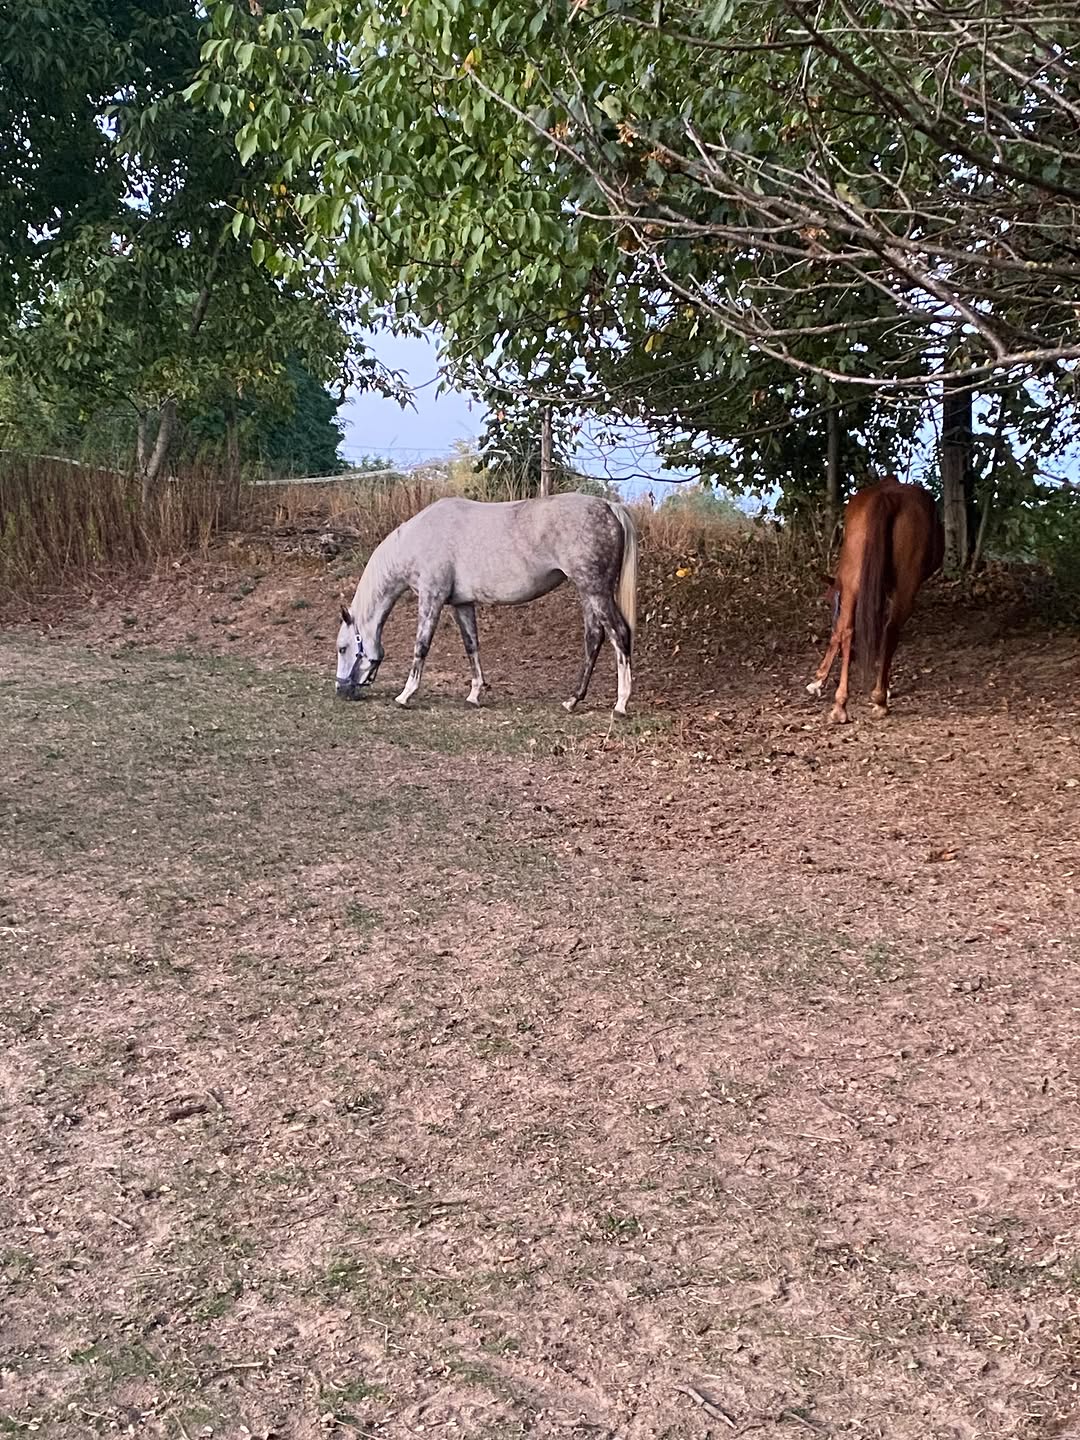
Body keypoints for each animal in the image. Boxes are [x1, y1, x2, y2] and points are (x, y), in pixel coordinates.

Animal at [335, 492, 638, 714]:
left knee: (619, 634)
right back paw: (572, 700)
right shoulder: (462, 604)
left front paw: (405, 695)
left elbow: (421, 645)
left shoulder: (432, 597)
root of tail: (609, 507)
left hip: (595, 591)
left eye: (342, 648)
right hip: (588, 594)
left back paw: (621, 704)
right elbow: (472, 646)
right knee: (594, 638)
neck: (419, 538)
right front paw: (474, 694)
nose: (341, 690)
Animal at [807, 475, 944, 723]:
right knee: (887, 630)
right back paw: (878, 698)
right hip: (902, 585)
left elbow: (841, 631)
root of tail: (886, 498)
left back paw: (843, 705)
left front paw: (819, 679)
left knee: (849, 630)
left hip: (858, 581)